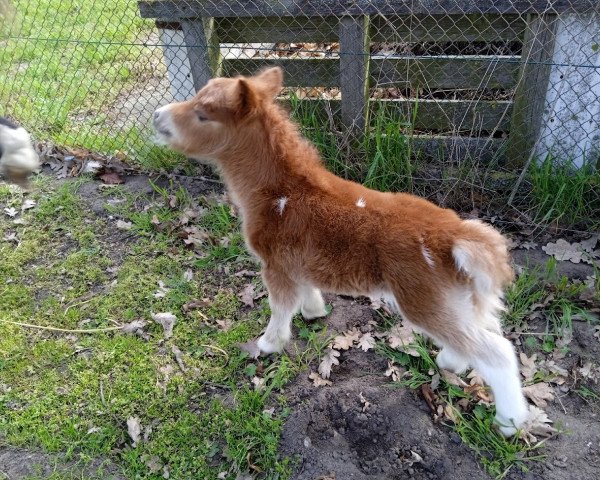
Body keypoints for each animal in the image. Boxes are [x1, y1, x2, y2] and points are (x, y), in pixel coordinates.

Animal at [155, 68, 528, 438]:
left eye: (203, 114)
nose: (158, 115)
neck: (278, 193)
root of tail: (454, 237)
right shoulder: (296, 263)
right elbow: (306, 292)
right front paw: (314, 313)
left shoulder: (275, 265)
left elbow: (279, 307)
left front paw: (268, 344)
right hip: (460, 298)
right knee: (481, 332)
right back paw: (450, 362)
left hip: (424, 300)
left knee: (497, 351)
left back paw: (510, 422)